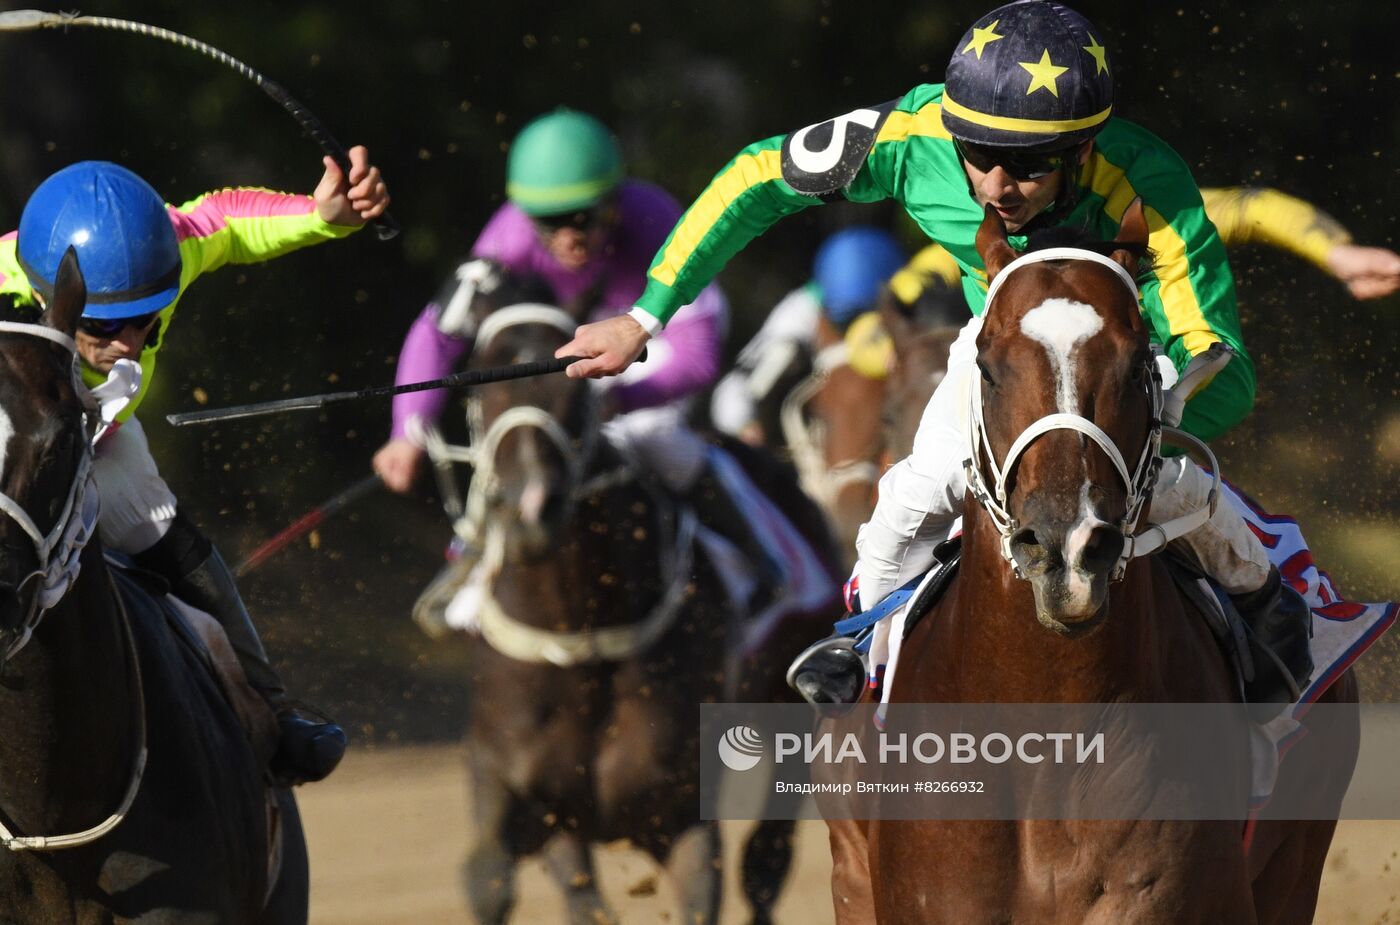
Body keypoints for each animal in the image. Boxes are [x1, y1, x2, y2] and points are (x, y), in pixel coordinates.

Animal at [445, 264, 840, 923]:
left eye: (576, 395)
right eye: (479, 390)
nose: (527, 512)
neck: (580, 636)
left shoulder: (682, 819)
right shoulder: (519, 796)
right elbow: (490, 879)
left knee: (765, 862)